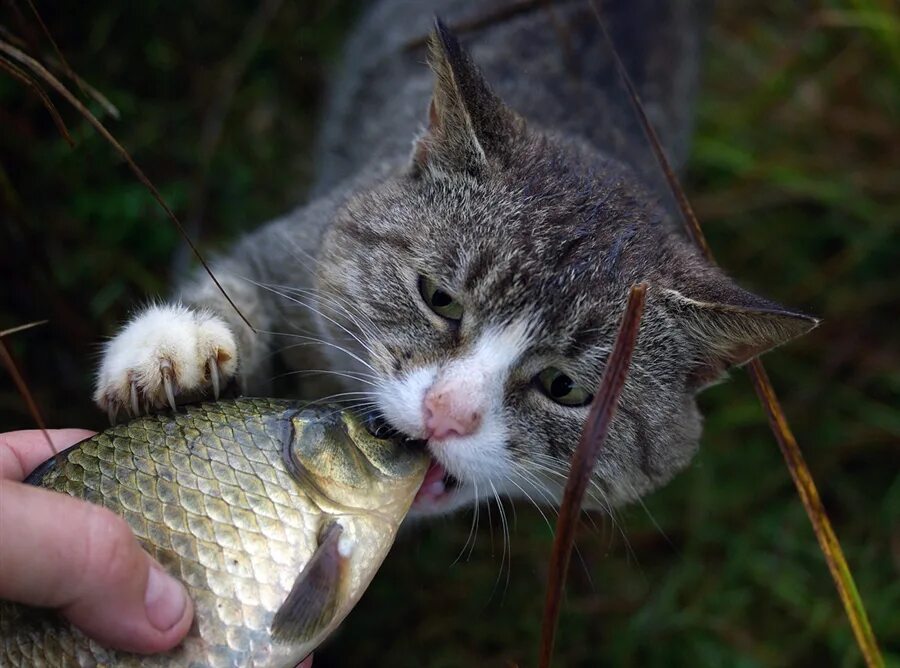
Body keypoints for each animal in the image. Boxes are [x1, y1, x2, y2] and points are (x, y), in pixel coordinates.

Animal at [89, 0, 816, 516]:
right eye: (439, 298)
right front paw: (176, 349)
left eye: (566, 389)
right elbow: (233, 281)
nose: (447, 413)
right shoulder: (291, 243)